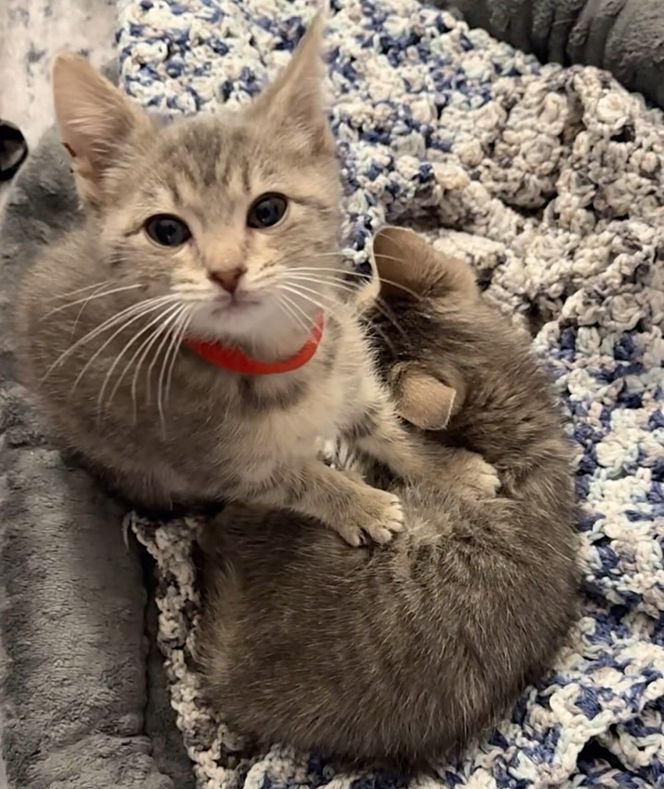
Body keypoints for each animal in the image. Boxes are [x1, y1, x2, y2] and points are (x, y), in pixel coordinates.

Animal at [14, 18, 498, 548]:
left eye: (268, 210)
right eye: (166, 231)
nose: (226, 271)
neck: (280, 359)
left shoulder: (352, 372)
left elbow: (386, 427)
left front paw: (445, 469)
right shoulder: (223, 466)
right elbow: (305, 481)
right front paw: (362, 505)